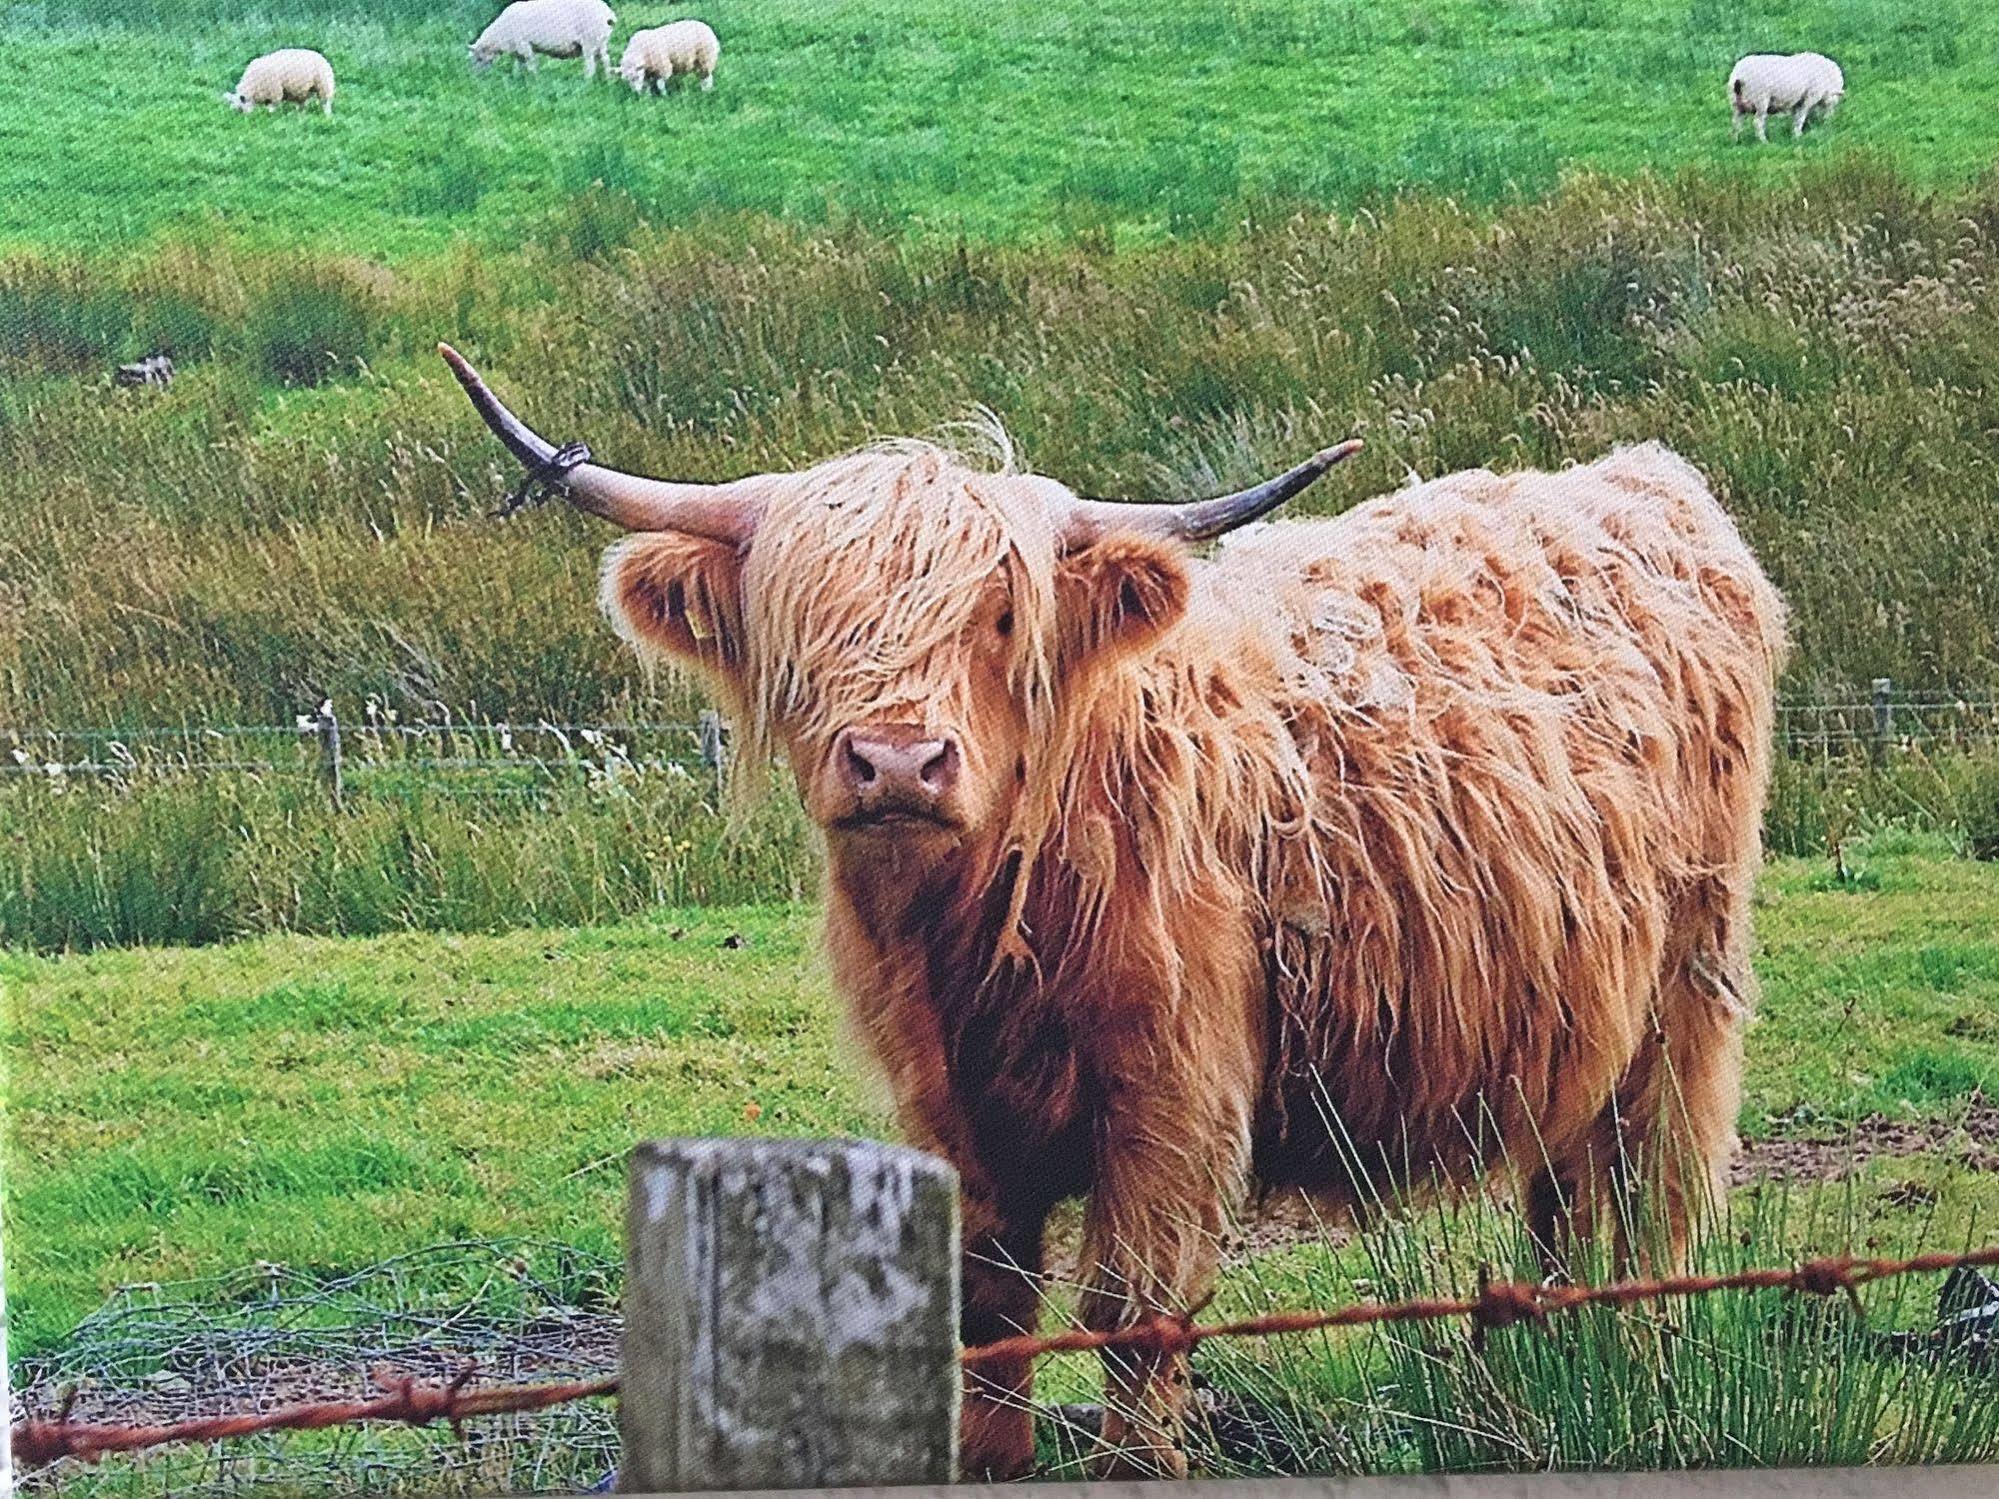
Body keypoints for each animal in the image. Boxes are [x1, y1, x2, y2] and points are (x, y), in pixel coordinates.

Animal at [445, 345, 1791, 1487]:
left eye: (1001, 617)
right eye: (805, 619)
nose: (896, 761)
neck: (984, 924)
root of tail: (1644, 483)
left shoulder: (1175, 1091)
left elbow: (1133, 1310)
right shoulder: (946, 1105)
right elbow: (987, 1304)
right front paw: (989, 1459)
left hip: (1685, 991)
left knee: (1651, 1198)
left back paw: (1637, 1379)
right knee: (1565, 1205)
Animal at [469, 0, 615, 80]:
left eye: (478, 58)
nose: (476, 77)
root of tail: (608, 14)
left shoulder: (524, 45)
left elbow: (530, 64)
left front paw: (534, 79)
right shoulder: (518, 49)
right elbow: (518, 65)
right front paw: (517, 78)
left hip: (589, 41)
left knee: (590, 64)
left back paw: (587, 81)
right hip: (601, 41)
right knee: (605, 60)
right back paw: (607, 81)